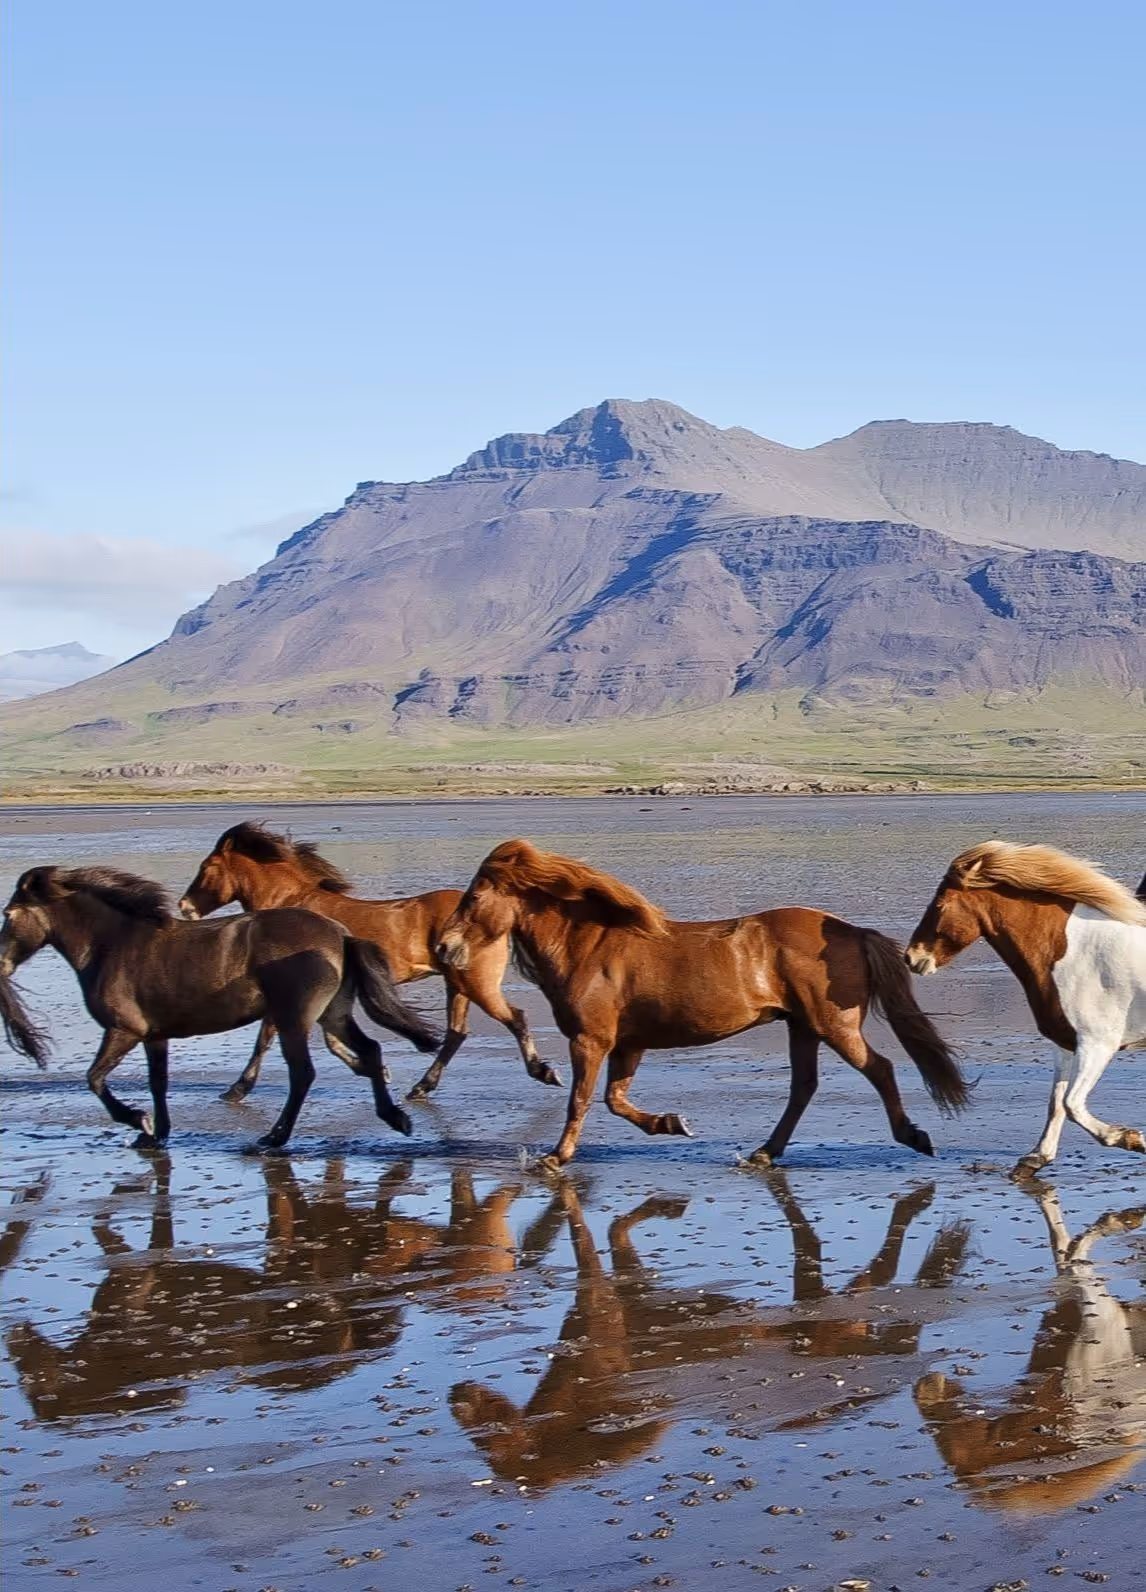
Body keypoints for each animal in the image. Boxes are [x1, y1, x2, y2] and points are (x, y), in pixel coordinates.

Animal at [0, 865, 442, 1149]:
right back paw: (396, 1118)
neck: (113, 945)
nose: (1, 963)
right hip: (333, 1014)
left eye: (8, 913)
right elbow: (158, 1082)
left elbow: (94, 1079)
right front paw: (156, 1133)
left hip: (294, 1020)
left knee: (303, 1074)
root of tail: (341, 935)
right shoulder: (154, 1035)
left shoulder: (124, 1030)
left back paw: (274, 1137)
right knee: (370, 1051)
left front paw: (138, 1121)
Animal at [179, 821, 554, 1103]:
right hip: (458, 984)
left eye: (206, 868)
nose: (185, 907)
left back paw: (543, 1072)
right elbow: (330, 1041)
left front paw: (237, 1088)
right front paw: (372, 1069)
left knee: (514, 1019)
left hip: (475, 982)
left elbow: (266, 1038)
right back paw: (421, 1087)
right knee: (456, 1034)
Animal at [435, 838, 969, 1169]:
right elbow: (614, 1100)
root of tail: (851, 931)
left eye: (474, 895)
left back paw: (912, 1136)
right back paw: (764, 1152)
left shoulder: (591, 1039)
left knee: (879, 1069)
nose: (443, 947)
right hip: (801, 1026)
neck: (588, 948)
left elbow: (580, 1100)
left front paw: (555, 1157)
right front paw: (671, 1124)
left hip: (831, 1024)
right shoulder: (627, 1044)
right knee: (803, 1087)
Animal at [905, 842, 1146, 1177]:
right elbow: (1057, 1102)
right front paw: (1035, 1158)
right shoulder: (1066, 1044)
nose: (911, 957)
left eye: (940, 905)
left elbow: (1072, 1104)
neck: (1068, 952)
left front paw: (1131, 1139)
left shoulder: (1097, 1044)